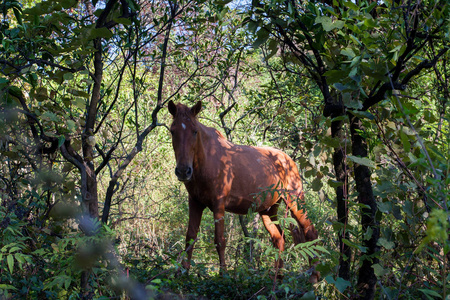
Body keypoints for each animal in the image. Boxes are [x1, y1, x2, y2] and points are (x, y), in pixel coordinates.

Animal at [169, 102, 320, 282]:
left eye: (194, 131)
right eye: (172, 130)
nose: (183, 171)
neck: (208, 159)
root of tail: (288, 160)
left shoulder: (218, 204)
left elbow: (219, 240)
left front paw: (223, 275)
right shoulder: (195, 203)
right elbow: (190, 237)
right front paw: (182, 273)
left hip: (295, 200)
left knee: (309, 231)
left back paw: (314, 277)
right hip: (268, 210)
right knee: (279, 239)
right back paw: (278, 277)